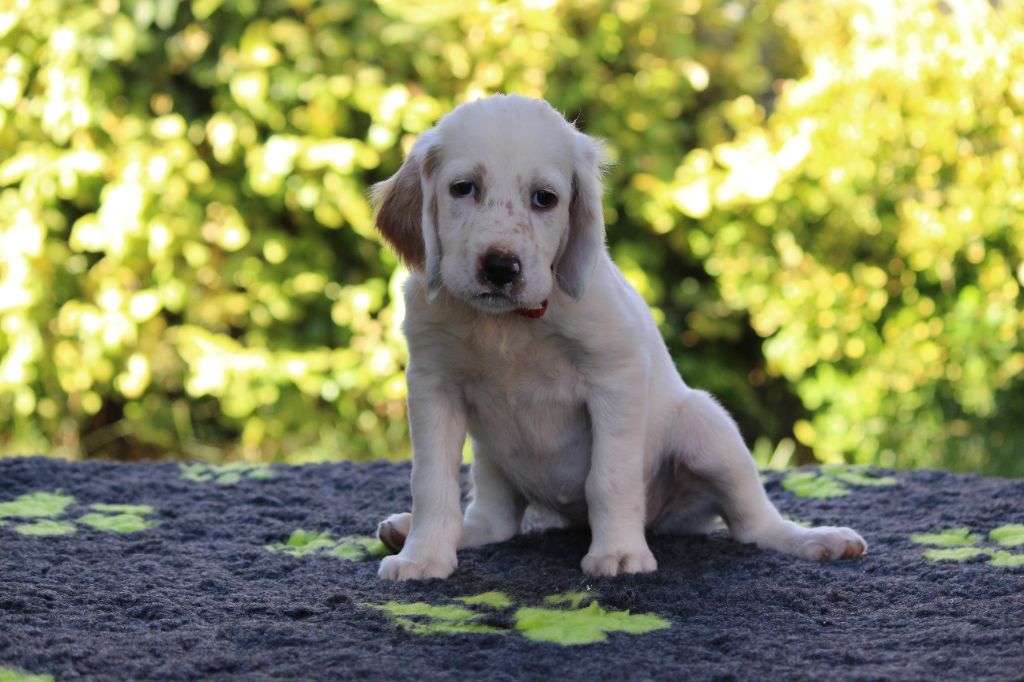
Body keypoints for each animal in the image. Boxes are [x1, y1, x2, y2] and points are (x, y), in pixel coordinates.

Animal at [368, 94, 864, 577]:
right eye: (463, 188)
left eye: (544, 198)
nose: (500, 268)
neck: (508, 324)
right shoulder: (432, 383)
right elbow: (431, 482)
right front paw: (422, 557)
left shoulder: (615, 375)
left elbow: (610, 478)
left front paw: (620, 553)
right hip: (492, 462)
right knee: (493, 522)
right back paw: (414, 531)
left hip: (708, 429)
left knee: (754, 525)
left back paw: (817, 540)